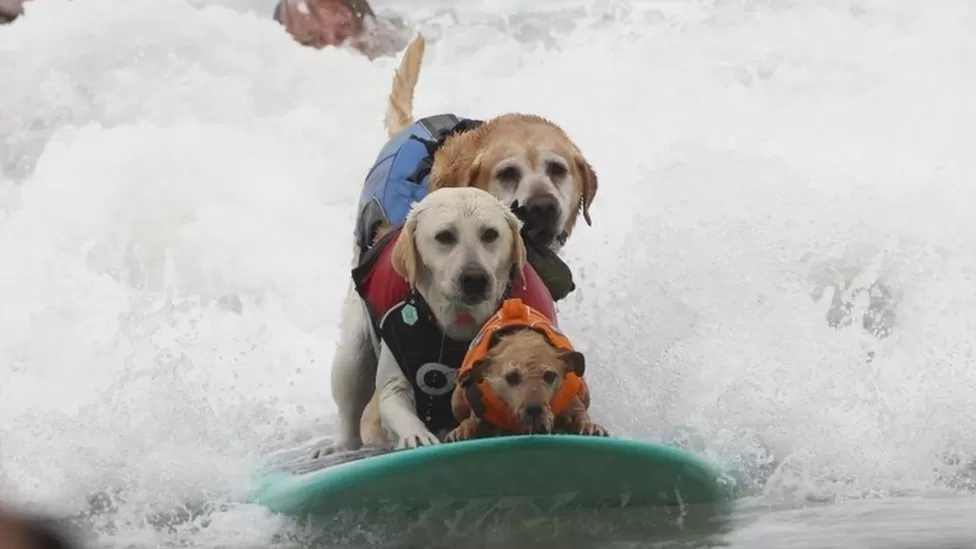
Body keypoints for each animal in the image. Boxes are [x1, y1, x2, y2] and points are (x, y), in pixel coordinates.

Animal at [330, 186, 540, 452]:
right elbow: (394, 397)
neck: (459, 322)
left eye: (490, 234)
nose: (475, 278)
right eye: (445, 236)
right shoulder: (395, 367)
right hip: (353, 351)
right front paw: (417, 435)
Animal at [444, 298, 608, 438]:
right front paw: (463, 429)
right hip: (457, 399)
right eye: (511, 377)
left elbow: (580, 414)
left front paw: (589, 426)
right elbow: (472, 421)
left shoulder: (572, 403)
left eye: (550, 376)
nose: (534, 409)